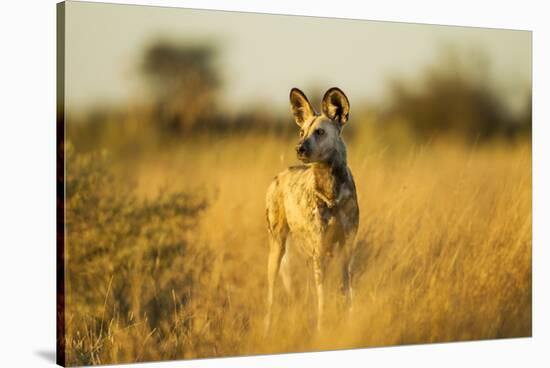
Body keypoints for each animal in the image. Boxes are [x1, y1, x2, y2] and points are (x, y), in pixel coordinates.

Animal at [266, 87, 360, 332]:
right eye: (301, 132)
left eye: (319, 132)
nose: (299, 148)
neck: (331, 192)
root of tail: (279, 176)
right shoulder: (321, 250)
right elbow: (323, 300)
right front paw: (321, 328)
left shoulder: (346, 247)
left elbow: (346, 290)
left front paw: (349, 320)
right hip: (277, 248)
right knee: (271, 294)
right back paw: (267, 329)